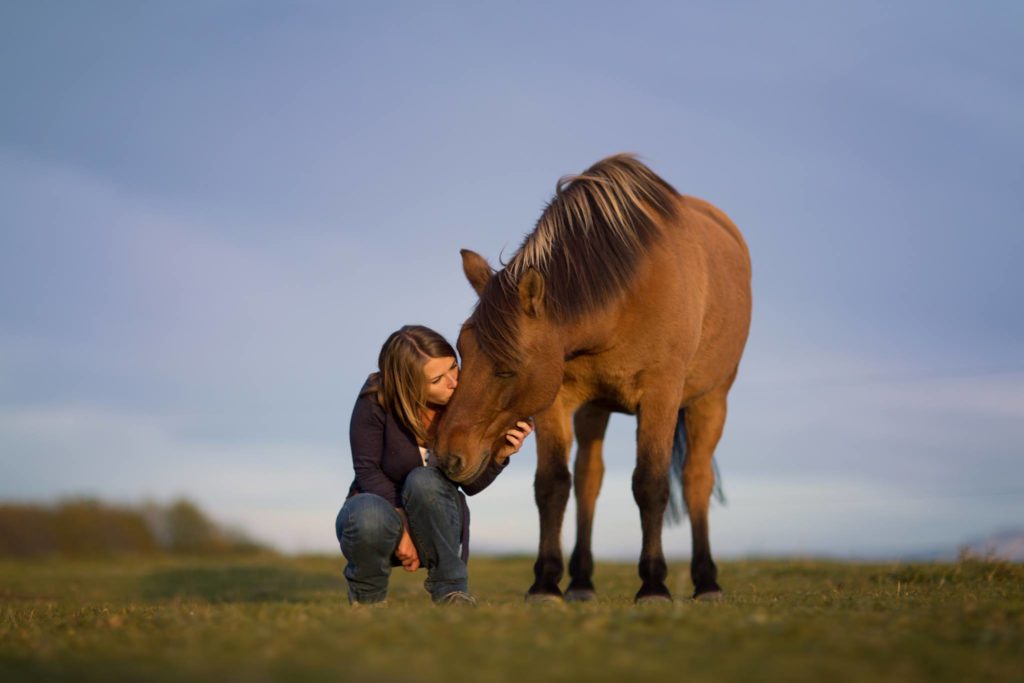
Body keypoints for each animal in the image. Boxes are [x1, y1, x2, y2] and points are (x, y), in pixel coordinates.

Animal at [432, 154, 753, 602]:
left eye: (508, 367)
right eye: (462, 354)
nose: (447, 456)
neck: (627, 291)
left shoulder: (661, 396)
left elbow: (650, 484)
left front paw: (653, 585)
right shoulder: (556, 400)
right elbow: (552, 484)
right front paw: (546, 583)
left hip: (711, 399)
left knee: (695, 479)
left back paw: (707, 581)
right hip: (594, 410)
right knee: (588, 479)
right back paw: (581, 581)